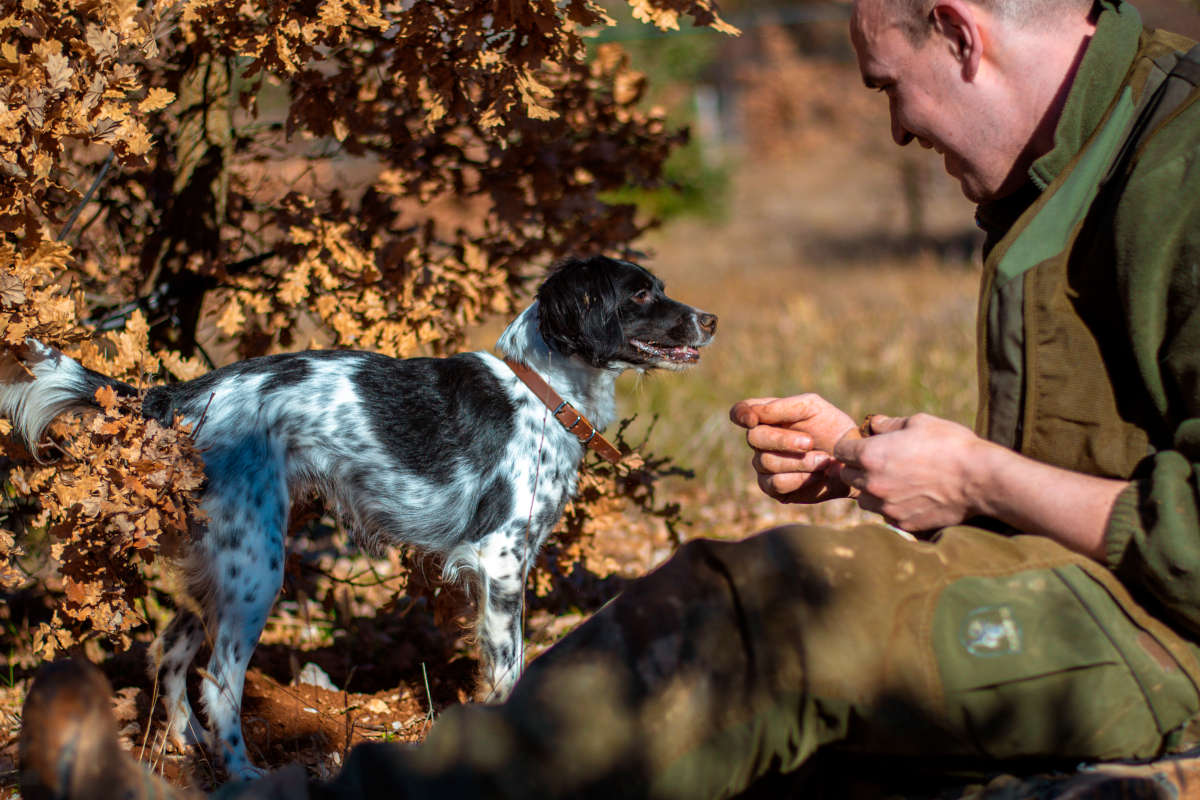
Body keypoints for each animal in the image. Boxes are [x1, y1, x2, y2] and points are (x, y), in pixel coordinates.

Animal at [0, 255, 710, 777]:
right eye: (640, 294)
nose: (711, 318)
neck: (541, 390)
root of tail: (184, 396)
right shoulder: (503, 559)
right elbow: (509, 668)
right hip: (257, 567)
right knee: (220, 681)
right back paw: (245, 775)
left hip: (221, 563)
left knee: (171, 656)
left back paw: (189, 749)